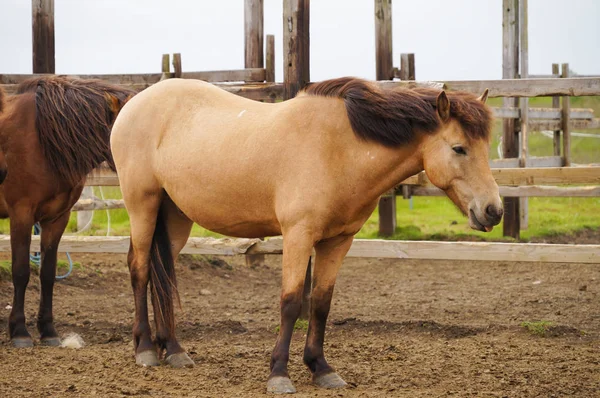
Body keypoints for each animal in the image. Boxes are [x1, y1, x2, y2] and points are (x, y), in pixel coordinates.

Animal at [0, 76, 132, 346]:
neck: (42, 142)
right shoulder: (21, 215)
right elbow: (21, 271)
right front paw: (19, 331)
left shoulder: (57, 218)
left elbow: (48, 274)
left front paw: (48, 331)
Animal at [109, 76, 502, 394]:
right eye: (458, 148)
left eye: (486, 148)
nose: (493, 211)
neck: (340, 149)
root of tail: (134, 103)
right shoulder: (298, 235)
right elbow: (291, 302)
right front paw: (279, 375)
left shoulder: (338, 241)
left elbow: (321, 303)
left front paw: (321, 368)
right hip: (142, 204)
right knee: (140, 268)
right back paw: (145, 349)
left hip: (174, 216)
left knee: (163, 272)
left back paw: (174, 350)